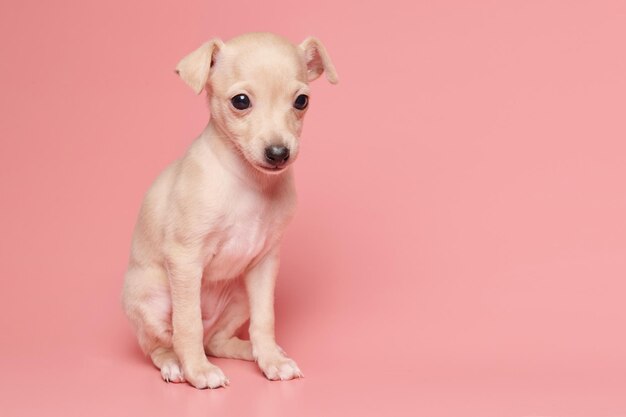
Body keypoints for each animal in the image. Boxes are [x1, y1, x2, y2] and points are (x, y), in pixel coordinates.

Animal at [121, 33, 336, 390]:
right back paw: (175, 364)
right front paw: (198, 370)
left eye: (301, 101)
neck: (249, 182)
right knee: (161, 343)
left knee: (216, 340)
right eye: (240, 101)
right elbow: (188, 324)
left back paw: (255, 351)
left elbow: (265, 319)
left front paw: (272, 360)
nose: (278, 153)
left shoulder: (265, 263)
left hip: (239, 296)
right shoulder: (184, 258)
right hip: (152, 298)